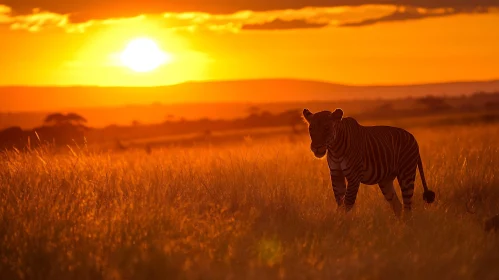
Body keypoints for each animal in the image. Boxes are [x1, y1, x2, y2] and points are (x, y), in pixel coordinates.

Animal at [302, 107, 436, 217]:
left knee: (408, 208)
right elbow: (340, 201)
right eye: (311, 129)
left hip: (406, 175)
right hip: (386, 180)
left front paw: (343, 224)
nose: (317, 147)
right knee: (397, 205)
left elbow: (347, 203)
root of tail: (413, 137)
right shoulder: (336, 174)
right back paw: (397, 229)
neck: (335, 150)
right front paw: (338, 222)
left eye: (326, 128)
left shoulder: (354, 176)